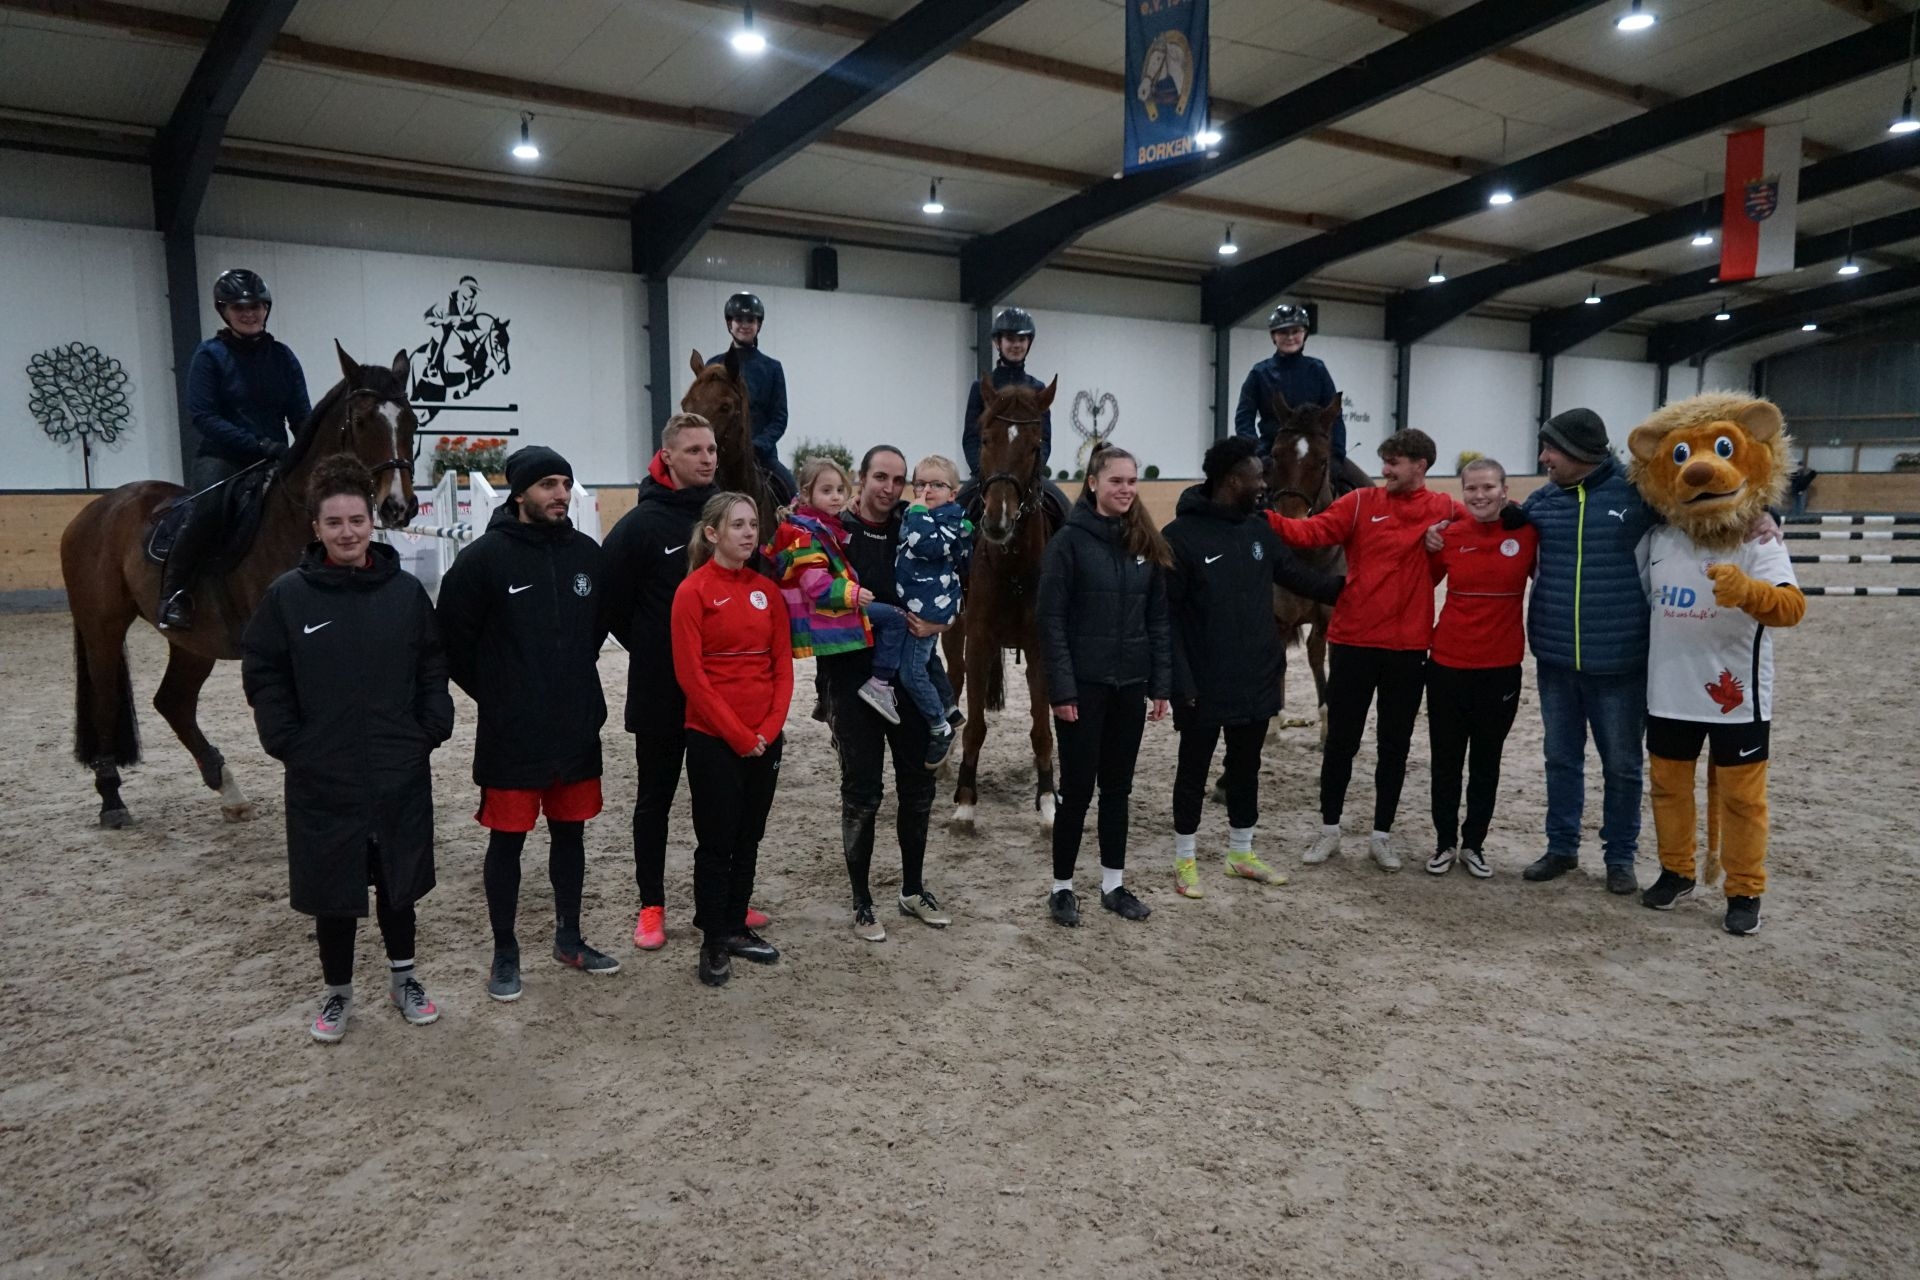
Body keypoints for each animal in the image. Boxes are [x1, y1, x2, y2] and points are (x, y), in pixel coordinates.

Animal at [59, 342, 422, 829]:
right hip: (103, 630)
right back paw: (112, 800)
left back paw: (227, 788)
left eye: (411, 421)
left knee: (172, 702)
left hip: (193, 642)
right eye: (363, 421)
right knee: (105, 704)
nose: (399, 506)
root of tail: (96, 509)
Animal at [943, 374, 1059, 830]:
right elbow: (974, 725)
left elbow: (1042, 729)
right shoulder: (978, 640)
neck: (1011, 563)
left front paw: (1047, 799)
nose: (998, 520)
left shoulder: (1041, 647)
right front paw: (964, 800)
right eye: (986, 438)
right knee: (953, 681)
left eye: (1036, 445)